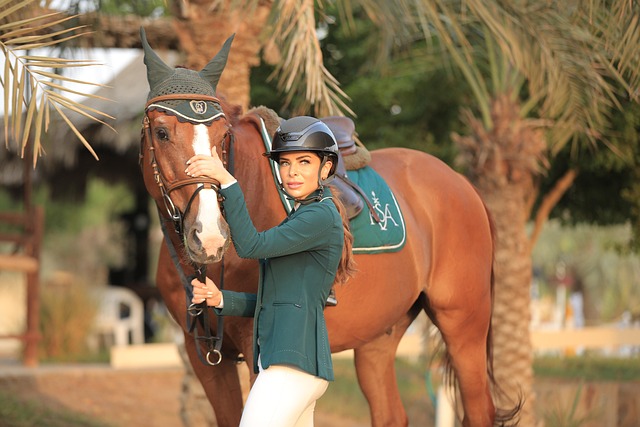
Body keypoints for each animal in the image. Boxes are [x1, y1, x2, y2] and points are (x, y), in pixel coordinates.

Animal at [138, 33, 520, 427]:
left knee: (479, 409)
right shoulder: (206, 359)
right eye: (162, 133)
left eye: (223, 135)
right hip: (378, 338)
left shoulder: (258, 353)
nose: (210, 237)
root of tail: (464, 184)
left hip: (463, 327)